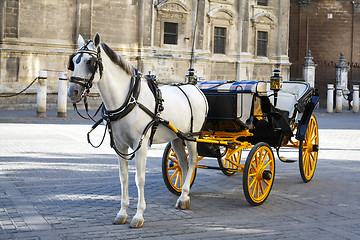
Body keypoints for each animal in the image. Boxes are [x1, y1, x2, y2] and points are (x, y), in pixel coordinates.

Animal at [67, 33, 208, 227]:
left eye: (90, 62)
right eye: (74, 61)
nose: (72, 92)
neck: (128, 100)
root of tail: (194, 88)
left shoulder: (140, 146)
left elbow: (139, 179)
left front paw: (139, 215)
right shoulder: (120, 146)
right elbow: (124, 177)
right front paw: (122, 213)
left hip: (191, 136)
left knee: (193, 161)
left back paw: (184, 195)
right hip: (177, 138)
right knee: (183, 163)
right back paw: (183, 196)